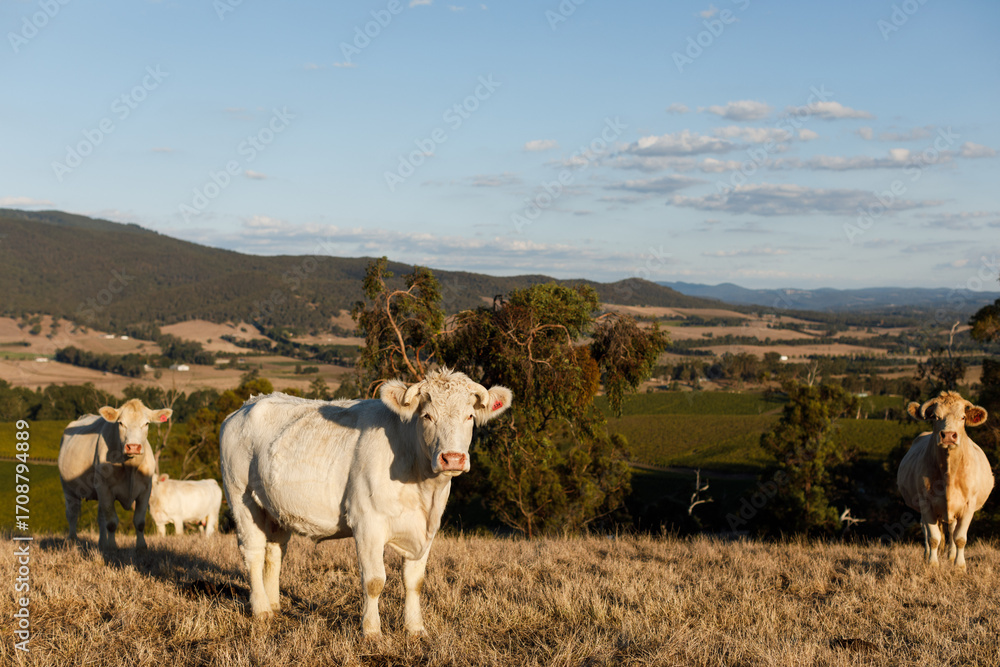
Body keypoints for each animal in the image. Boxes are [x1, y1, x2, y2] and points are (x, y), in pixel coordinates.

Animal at [58, 399, 172, 551]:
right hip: (68, 488)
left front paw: (141, 546)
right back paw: (72, 541)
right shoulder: (105, 488)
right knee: (72, 514)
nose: (133, 447)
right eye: (121, 423)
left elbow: (139, 522)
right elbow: (111, 523)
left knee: (100, 518)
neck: (130, 469)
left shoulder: (146, 490)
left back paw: (102, 543)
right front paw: (112, 546)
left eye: (146, 423)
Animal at [219, 368, 512, 636]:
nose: (452, 458)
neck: (421, 486)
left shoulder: (427, 528)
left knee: (274, 552)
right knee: (253, 552)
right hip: (241, 497)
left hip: (275, 509)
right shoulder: (367, 523)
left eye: (469, 416)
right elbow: (374, 581)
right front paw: (371, 631)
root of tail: (247, 405)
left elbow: (414, 581)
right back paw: (261, 610)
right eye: (427, 416)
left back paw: (274, 604)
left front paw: (415, 628)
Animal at [897, 390, 995, 569]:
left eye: (963, 417)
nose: (948, 435)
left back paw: (951, 556)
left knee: (952, 532)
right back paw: (927, 555)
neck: (949, 472)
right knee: (926, 529)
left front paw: (959, 566)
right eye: (935, 417)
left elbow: (960, 538)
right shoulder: (926, 503)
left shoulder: (968, 505)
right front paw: (932, 564)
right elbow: (933, 538)